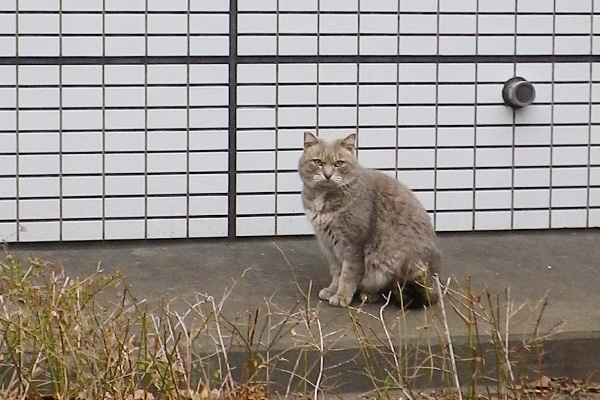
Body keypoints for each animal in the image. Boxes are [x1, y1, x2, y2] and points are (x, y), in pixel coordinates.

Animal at [300, 133, 440, 308]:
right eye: (318, 162)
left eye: (339, 163)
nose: (327, 174)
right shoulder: (328, 246)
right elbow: (336, 273)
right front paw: (332, 290)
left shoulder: (352, 244)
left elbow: (347, 275)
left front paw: (341, 296)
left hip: (392, 264)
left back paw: (369, 295)